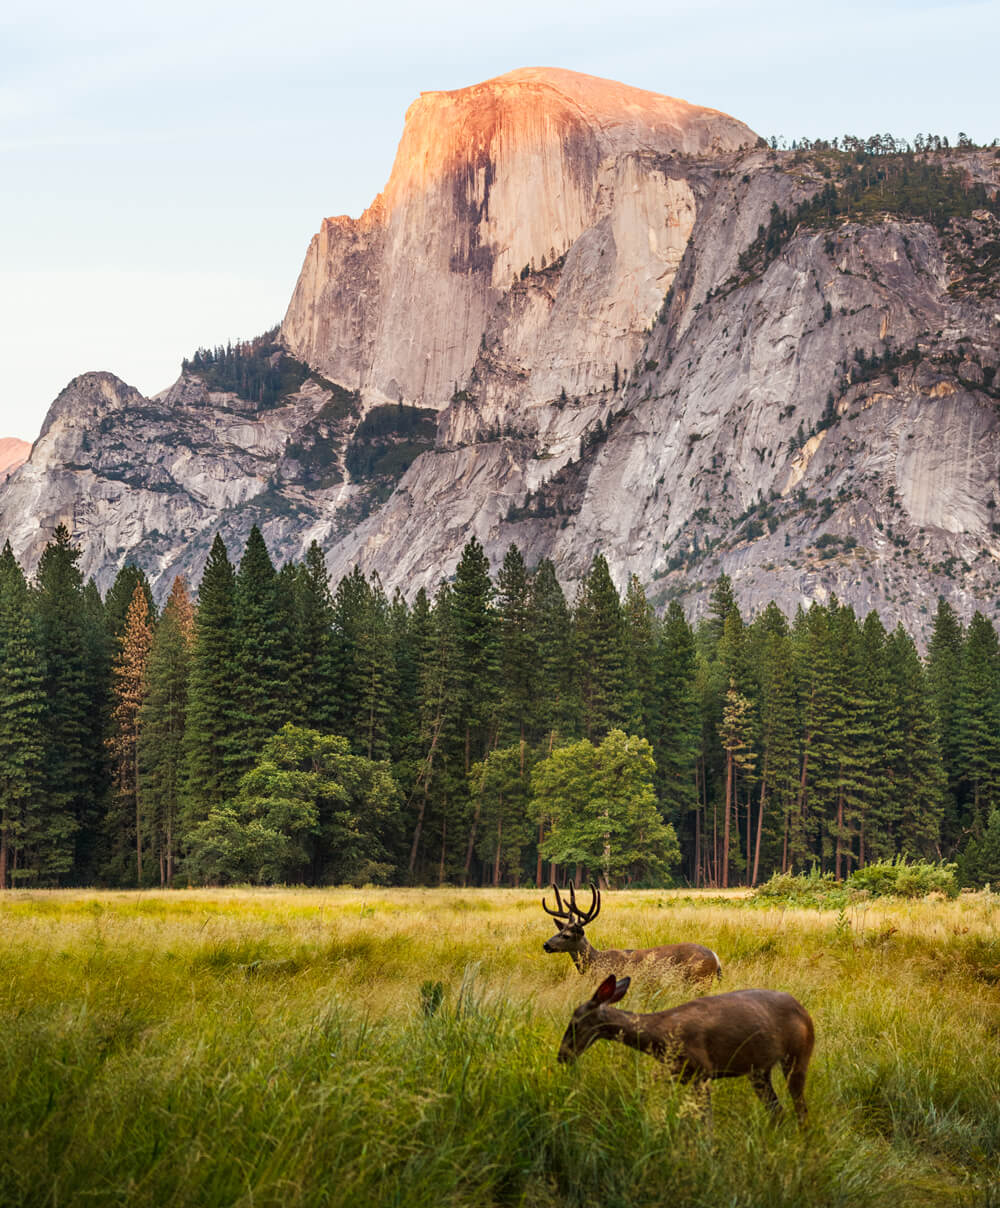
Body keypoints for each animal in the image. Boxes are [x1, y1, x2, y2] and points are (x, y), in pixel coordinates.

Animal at [543, 884, 724, 985]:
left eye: (566, 935)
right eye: (559, 931)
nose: (546, 945)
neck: (596, 962)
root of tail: (716, 957)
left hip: (700, 980)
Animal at [557, 971, 816, 1121]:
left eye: (574, 1023)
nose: (562, 1056)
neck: (660, 1036)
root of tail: (805, 1011)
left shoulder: (702, 1070)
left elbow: (705, 1121)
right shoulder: (677, 1073)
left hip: (798, 1055)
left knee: (800, 1109)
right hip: (758, 1070)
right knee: (777, 1110)